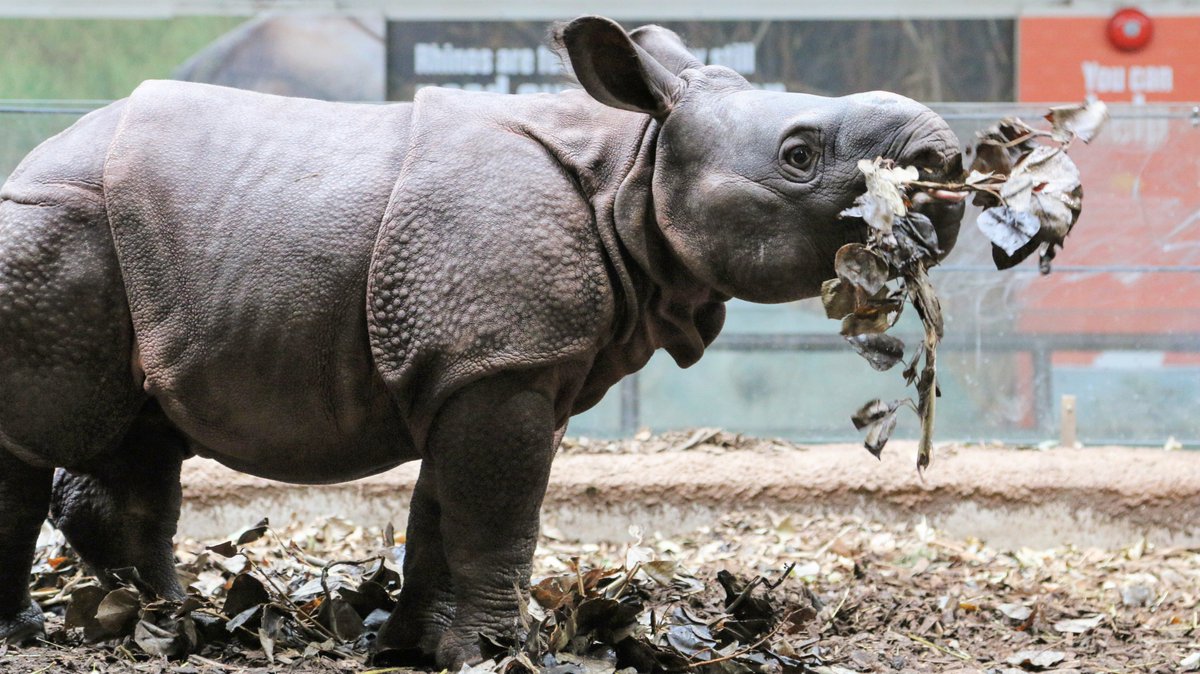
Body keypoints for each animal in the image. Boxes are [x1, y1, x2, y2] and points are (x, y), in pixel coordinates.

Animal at [0, 16, 963, 668]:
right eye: (798, 156)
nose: (944, 164)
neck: (631, 170)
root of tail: (28, 160)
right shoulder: (499, 360)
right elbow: (500, 508)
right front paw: (503, 654)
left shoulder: (482, 360)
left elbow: (445, 509)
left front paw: (417, 647)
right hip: (50, 230)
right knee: (37, 436)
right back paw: (48, 629)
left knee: (140, 434)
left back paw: (169, 622)